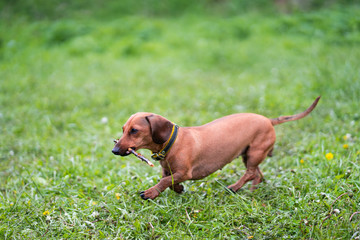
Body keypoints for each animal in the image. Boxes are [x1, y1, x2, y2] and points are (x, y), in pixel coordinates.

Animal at [112, 96, 320, 200]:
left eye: (134, 131)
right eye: (123, 129)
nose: (114, 151)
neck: (173, 143)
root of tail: (268, 120)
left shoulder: (185, 172)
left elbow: (164, 182)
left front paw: (150, 193)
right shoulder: (169, 171)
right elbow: (169, 182)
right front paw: (178, 189)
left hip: (254, 153)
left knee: (251, 173)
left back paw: (234, 187)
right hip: (248, 154)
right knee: (257, 174)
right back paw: (251, 191)